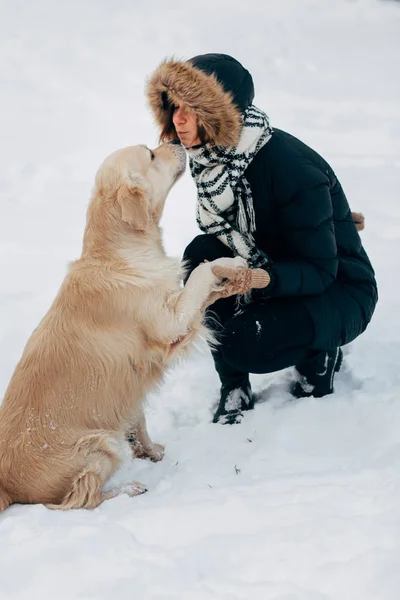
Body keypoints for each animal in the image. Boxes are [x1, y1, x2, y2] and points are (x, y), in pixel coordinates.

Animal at [0, 142, 245, 510]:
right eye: (151, 155)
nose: (177, 142)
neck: (118, 254)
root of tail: (7, 486)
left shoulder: (131, 384)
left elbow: (138, 419)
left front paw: (153, 452)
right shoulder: (170, 322)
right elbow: (201, 272)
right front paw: (232, 261)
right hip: (100, 446)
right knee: (83, 498)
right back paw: (129, 489)